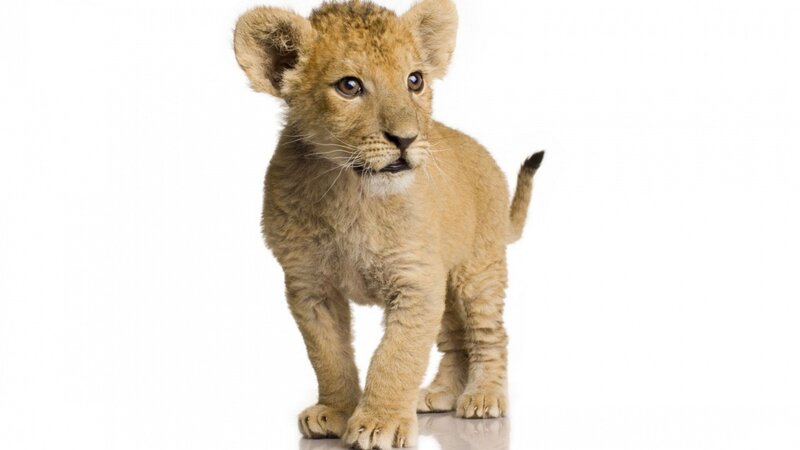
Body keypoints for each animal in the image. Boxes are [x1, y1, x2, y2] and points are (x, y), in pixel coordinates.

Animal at [233, 0, 544, 448]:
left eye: (415, 80)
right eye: (349, 86)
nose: (406, 139)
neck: (350, 192)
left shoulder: (416, 281)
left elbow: (397, 355)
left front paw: (380, 423)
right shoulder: (309, 285)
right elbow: (328, 354)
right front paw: (336, 411)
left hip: (477, 270)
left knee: (488, 334)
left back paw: (484, 397)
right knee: (455, 340)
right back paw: (439, 395)